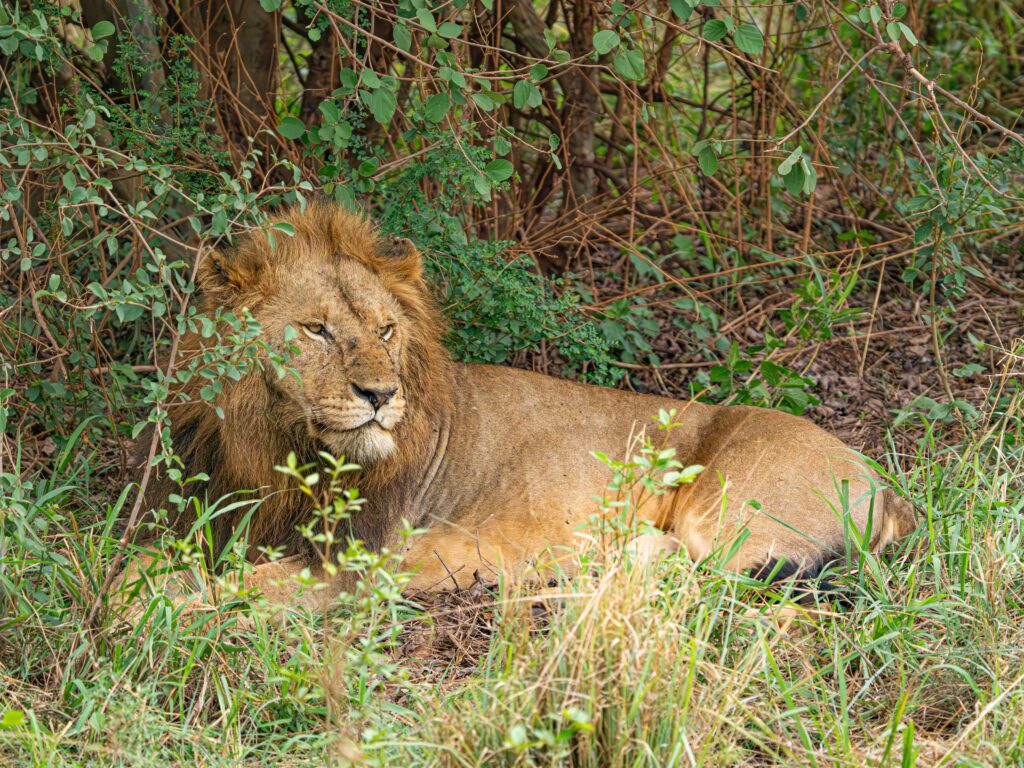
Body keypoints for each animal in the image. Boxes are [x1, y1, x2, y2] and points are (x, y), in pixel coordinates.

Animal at [123, 201, 917, 610]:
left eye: (385, 330)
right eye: (315, 329)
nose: (380, 396)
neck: (280, 450)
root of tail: (886, 483)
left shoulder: (347, 566)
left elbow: (223, 589)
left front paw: (143, 609)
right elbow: (150, 563)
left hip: (728, 518)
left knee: (692, 577)